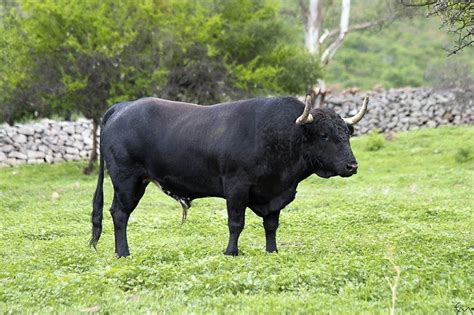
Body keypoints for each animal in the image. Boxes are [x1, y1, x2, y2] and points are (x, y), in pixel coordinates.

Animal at [90, 95, 368, 256]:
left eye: (347, 133)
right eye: (324, 135)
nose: (352, 166)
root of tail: (123, 106)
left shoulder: (275, 193)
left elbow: (271, 225)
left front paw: (272, 251)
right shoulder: (236, 187)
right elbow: (236, 223)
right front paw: (231, 252)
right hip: (127, 180)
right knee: (120, 214)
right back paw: (123, 253)